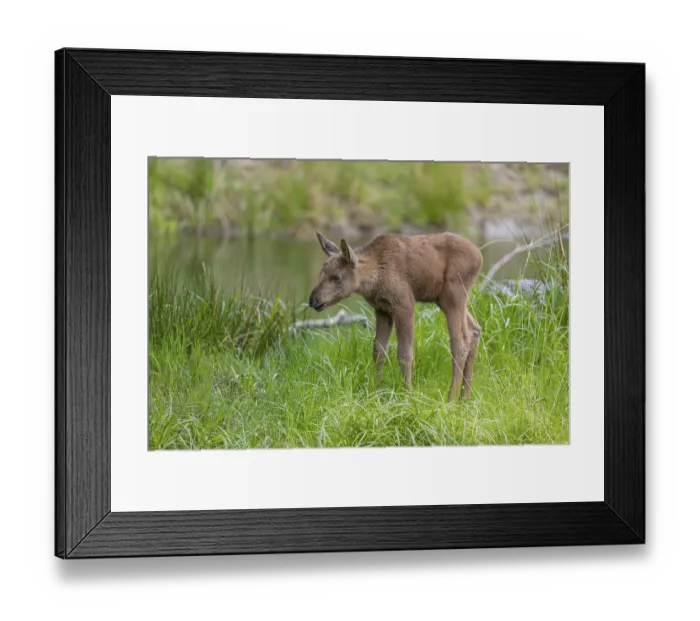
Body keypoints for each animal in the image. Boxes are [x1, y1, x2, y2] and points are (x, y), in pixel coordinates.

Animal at [308, 231, 483, 401]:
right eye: (321, 273)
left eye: (337, 277)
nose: (313, 300)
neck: (374, 277)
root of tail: (479, 257)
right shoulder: (382, 309)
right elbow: (378, 350)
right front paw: (377, 389)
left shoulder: (405, 304)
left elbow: (405, 353)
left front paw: (408, 395)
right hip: (443, 299)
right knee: (474, 329)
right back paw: (465, 398)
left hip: (453, 295)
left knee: (460, 343)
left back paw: (451, 399)